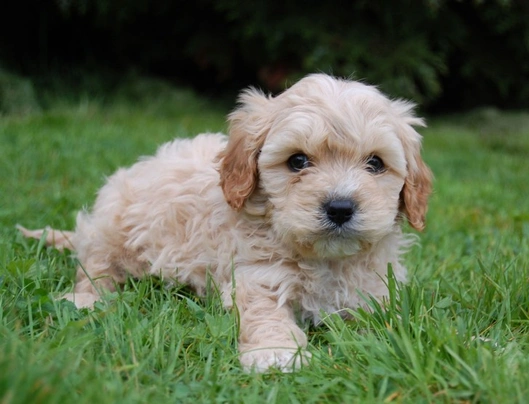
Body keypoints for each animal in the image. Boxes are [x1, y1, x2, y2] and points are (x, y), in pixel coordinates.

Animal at [20, 73, 434, 372]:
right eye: (298, 161)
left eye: (375, 163)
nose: (340, 207)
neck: (324, 259)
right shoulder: (255, 274)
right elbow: (264, 312)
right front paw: (275, 353)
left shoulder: (376, 286)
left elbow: (380, 317)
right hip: (114, 224)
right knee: (96, 266)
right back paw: (83, 299)